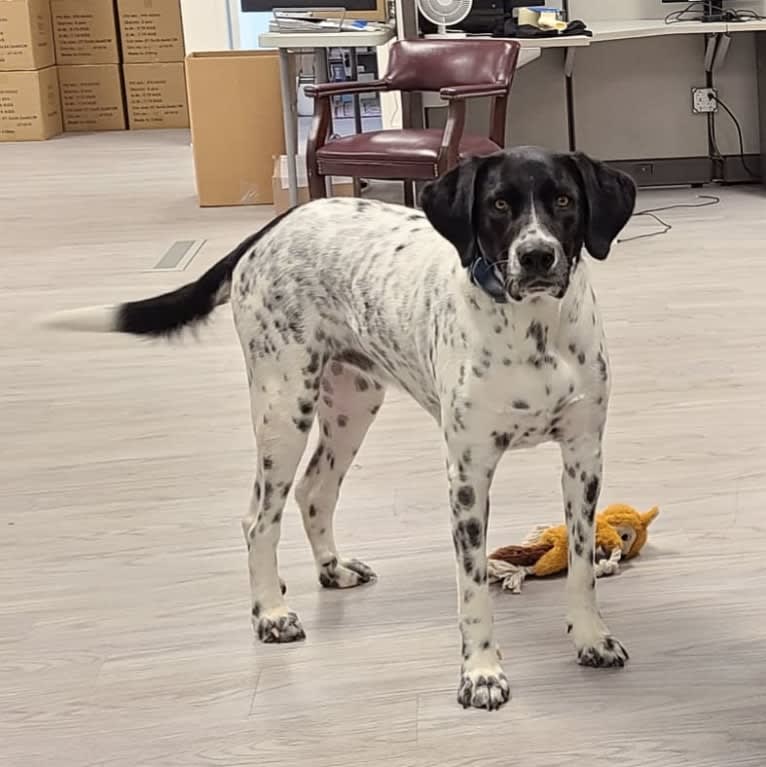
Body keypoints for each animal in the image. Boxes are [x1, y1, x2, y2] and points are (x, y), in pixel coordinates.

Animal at [45, 146, 640, 712]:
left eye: (563, 200)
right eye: (498, 204)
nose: (537, 255)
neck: (535, 332)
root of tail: (270, 229)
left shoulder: (584, 459)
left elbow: (582, 566)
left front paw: (590, 638)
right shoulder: (468, 474)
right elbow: (472, 589)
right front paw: (481, 673)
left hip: (353, 401)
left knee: (315, 490)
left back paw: (332, 570)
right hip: (284, 406)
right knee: (258, 518)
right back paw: (271, 611)